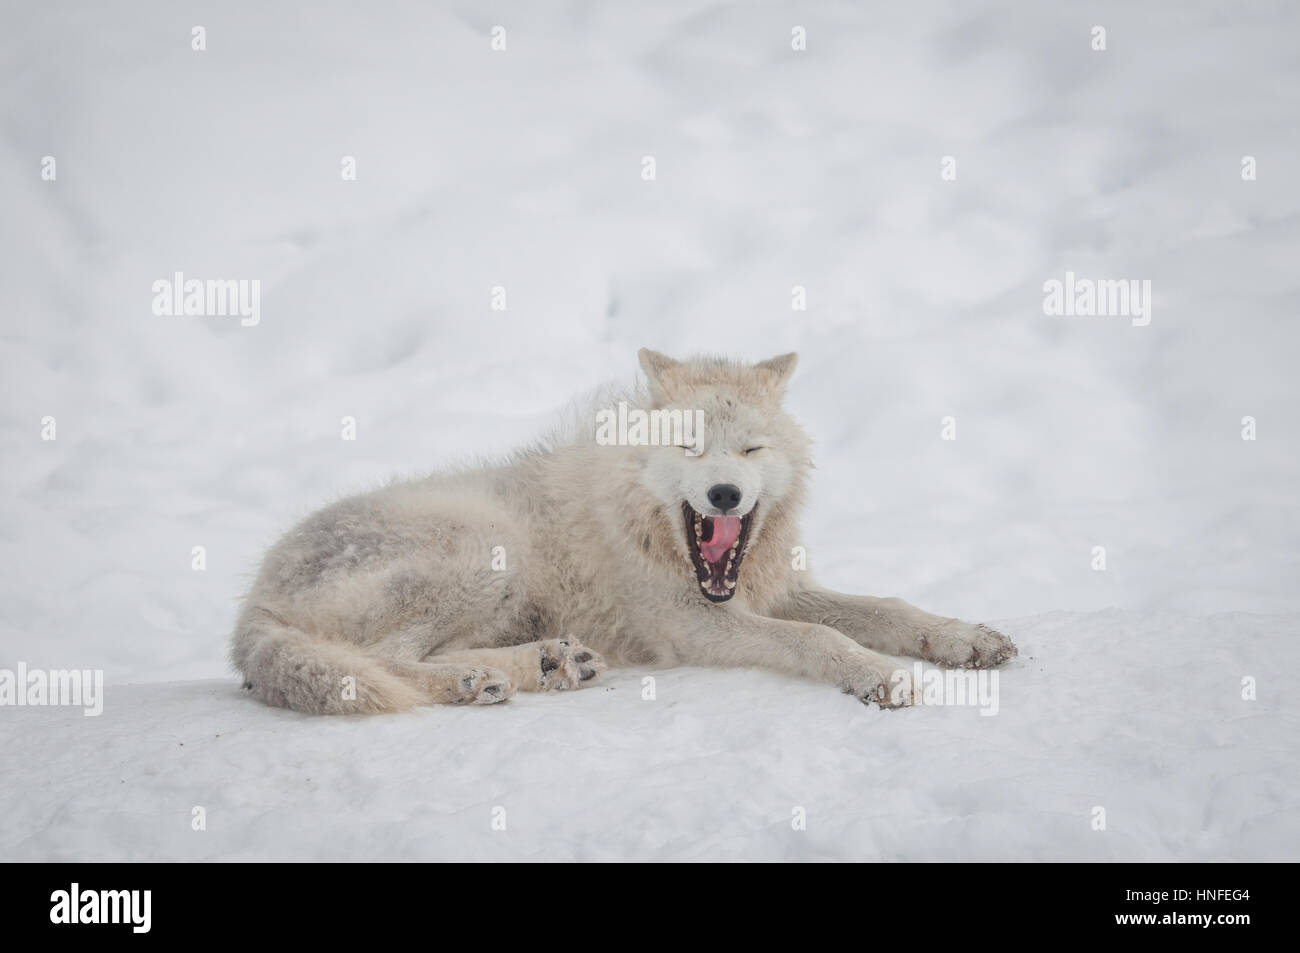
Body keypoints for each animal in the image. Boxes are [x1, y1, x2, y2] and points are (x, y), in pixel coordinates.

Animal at [233, 348, 1013, 712]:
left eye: (752, 449)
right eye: (690, 448)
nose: (725, 493)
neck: (649, 528)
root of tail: (251, 606)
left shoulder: (773, 589)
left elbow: (886, 608)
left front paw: (963, 638)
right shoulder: (692, 624)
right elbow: (818, 637)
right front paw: (880, 674)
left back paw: (548, 663)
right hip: (484, 552)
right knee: (383, 660)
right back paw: (486, 678)